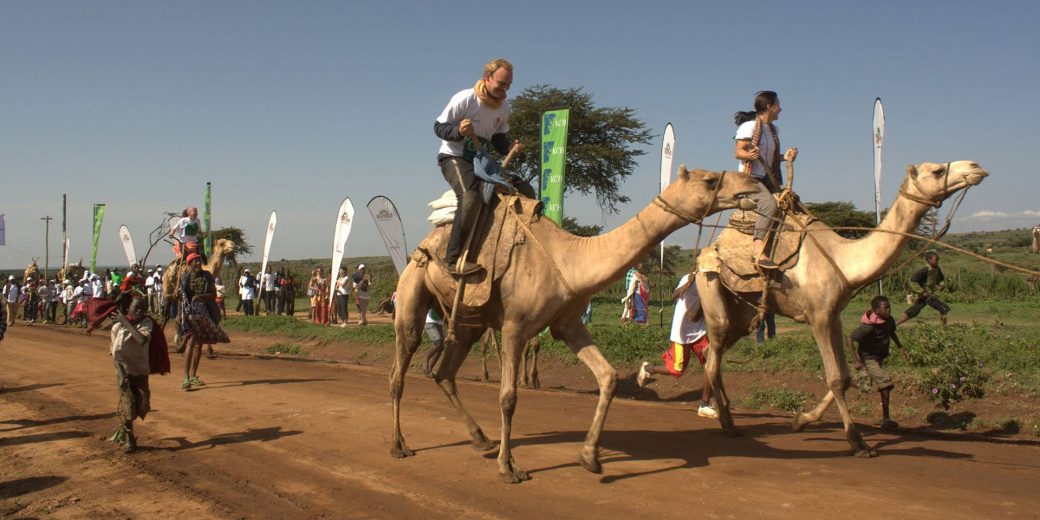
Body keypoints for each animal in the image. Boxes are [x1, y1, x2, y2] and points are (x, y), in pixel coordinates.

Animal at [388, 166, 757, 482]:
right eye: (710, 180)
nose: (751, 187)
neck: (568, 259)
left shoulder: (568, 324)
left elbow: (608, 377)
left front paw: (590, 456)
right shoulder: (515, 326)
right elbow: (508, 397)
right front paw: (509, 468)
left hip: (469, 320)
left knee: (445, 373)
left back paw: (480, 439)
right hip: (411, 294)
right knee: (401, 368)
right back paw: (399, 445)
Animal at [694, 160, 985, 457]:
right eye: (938, 171)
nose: (976, 167)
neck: (844, 260)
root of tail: (708, 249)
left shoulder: (834, 316)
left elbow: (845, 377)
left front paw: (802, 420)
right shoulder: (818, 316)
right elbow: (834, 378)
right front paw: (858, 443)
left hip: (742, 315)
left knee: (711, 353)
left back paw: (726, 415)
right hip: (711, 287)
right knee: (714, 355)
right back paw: (727, 424)